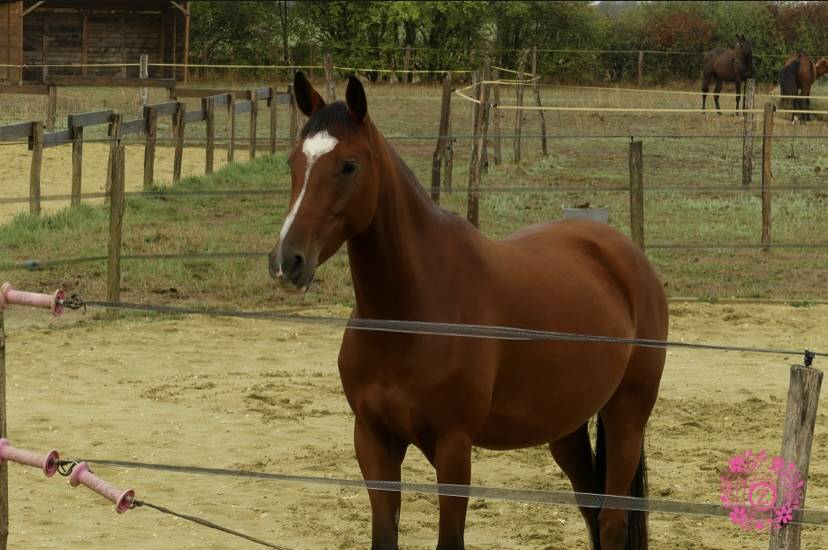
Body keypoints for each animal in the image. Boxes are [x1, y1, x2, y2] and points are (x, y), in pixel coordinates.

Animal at [269, 72, 668, 550]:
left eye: (349, 165)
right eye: (293, 163)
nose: (287, 261)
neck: (411, 313)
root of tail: (627, 255)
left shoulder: (454, 447)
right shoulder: (373, 441)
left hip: (627, 415)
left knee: (610, 522)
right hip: (566, 427)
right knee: (591, 510)